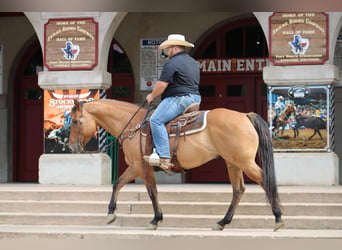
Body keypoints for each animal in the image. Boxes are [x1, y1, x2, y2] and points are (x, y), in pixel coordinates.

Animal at [67, 98, 284, 231]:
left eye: (76, 121)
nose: (71, 146)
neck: (132, 125)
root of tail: (244, 115)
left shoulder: (142, 167)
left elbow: (152, 192)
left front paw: (155, 219)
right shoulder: (135, 166)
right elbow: (118, 183)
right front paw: (111, 213)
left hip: (244, 162)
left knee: (265, 181)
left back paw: (278, 218)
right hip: (233, 163)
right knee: (238, 190)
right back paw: (222, 222)